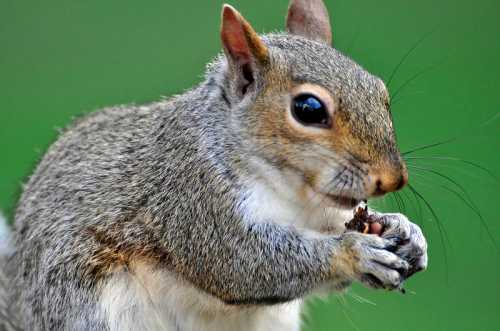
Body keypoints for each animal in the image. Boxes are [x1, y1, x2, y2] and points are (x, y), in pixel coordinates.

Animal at [0, 0, 426, 331]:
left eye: (379, 91)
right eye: (308, 109)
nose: (393, 179)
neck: (294, 195)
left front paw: (406, 232)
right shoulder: (192, 195)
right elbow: (238, 263)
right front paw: (355, 252)